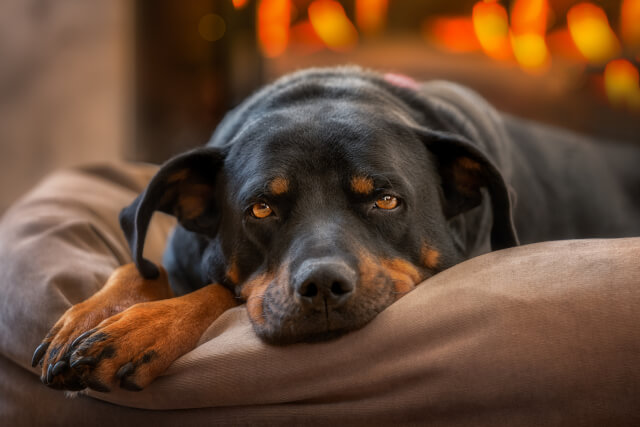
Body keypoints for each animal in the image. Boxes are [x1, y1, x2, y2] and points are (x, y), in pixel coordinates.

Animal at [31, 67, 640, 394]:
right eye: (260, 209)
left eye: (386, 199)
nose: (322, 286)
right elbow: (141, 266)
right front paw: (92, 314)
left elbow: (220, 291)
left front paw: (141, 328)